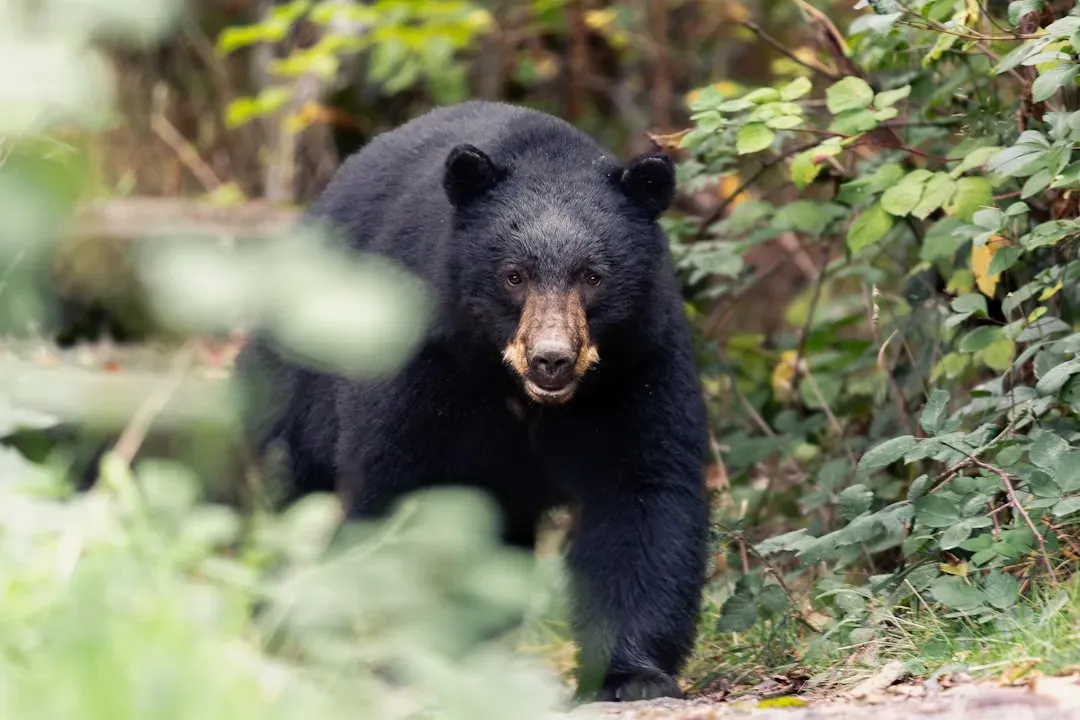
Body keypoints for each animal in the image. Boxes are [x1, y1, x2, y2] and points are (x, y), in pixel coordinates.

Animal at [234, 100, 710, 703]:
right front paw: (420, 654)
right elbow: (405, 490)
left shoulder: (637, 362)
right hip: (298, 376)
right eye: (513, 275)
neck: (517, 391)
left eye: (593, 276)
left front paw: (633, 676)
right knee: (285, 496)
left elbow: (642, 493)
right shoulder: (426, 360)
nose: (550, 359)